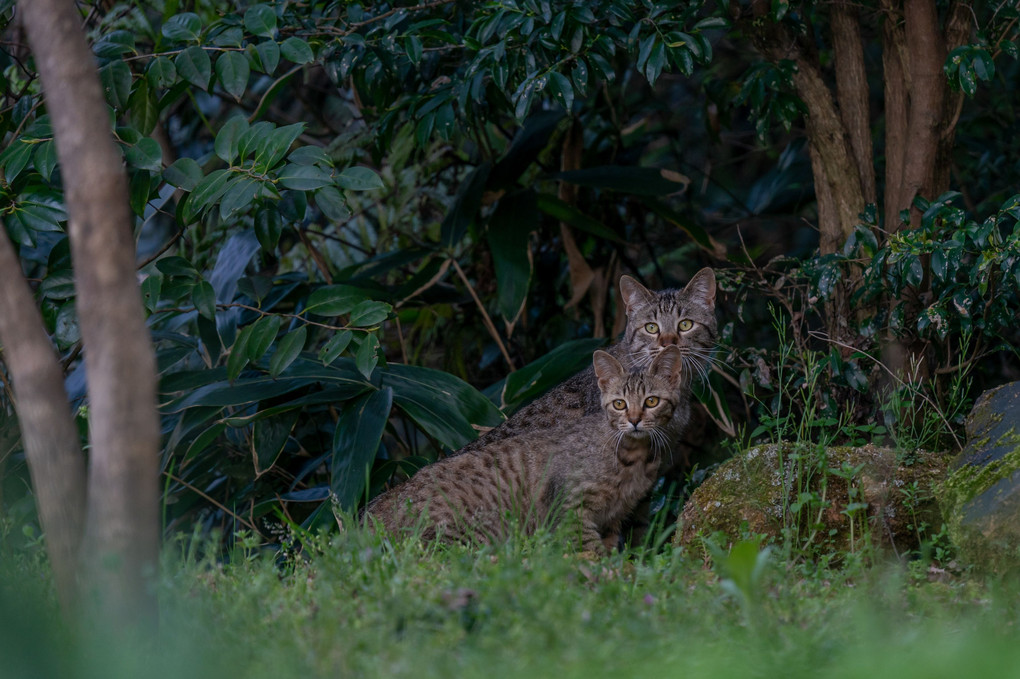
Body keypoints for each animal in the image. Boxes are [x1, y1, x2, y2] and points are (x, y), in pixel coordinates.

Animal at [361, 344, 685, 550]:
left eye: (651, 401)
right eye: (619, 404)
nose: (634, 420)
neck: (634, 457)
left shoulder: (611, 518)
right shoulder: (569, 508)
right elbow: (591, 552)